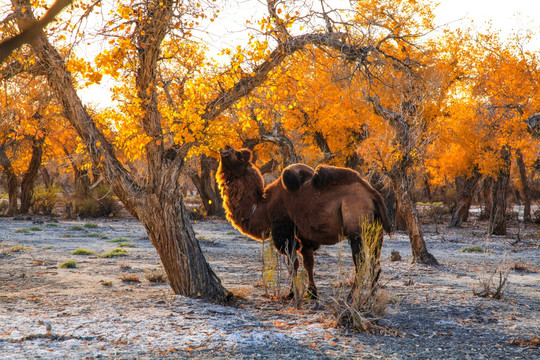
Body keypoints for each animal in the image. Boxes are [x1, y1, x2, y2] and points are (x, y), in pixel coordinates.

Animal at [216, 148, 392, 300]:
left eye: (238, 155)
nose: (226, 149)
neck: (262, 205)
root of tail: (373, 195)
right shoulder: (304, 237)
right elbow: (308, 263)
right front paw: (312, 293)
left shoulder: (285, 233)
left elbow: (293, 264)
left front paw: (292, 293)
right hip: (376, 231)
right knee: (375, 263)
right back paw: (371, 296)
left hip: (356, 230)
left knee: (361, 262)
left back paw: (350, 296)